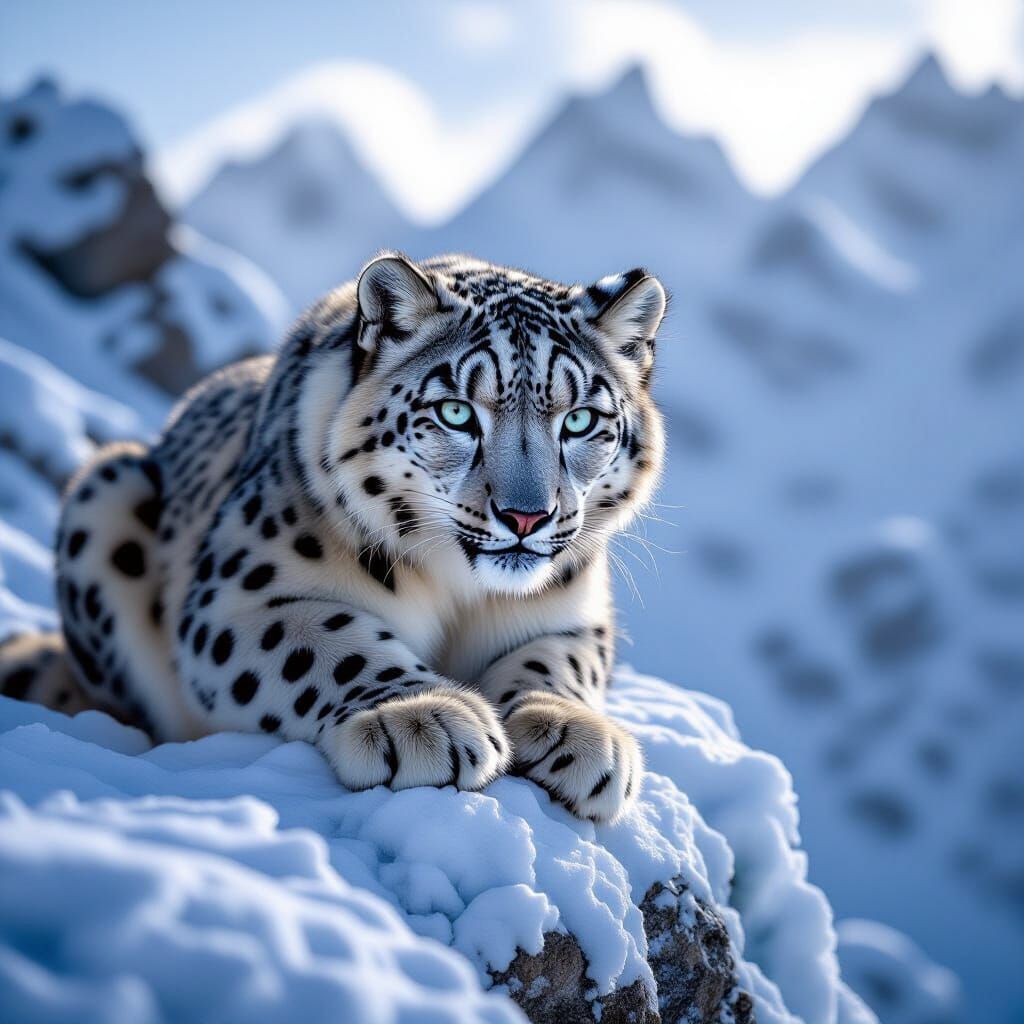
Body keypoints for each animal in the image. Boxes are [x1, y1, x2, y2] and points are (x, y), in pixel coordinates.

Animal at [0, 253, 667, 822]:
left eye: (579, 420)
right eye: (456, 412)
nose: (526, 516)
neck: (460, 592)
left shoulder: (577, 616)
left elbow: (559, 662)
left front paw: (576, 735)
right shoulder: (239, 598)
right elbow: (329, 641)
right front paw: (423, 720)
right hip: (106, 490)